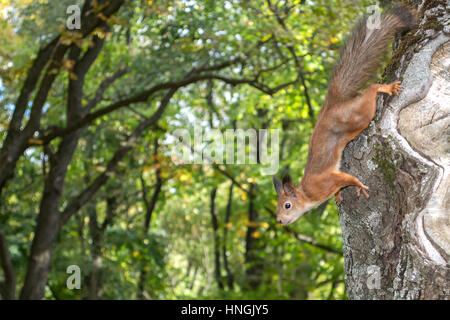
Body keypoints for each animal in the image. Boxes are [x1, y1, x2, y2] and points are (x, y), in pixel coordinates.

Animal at [272, 5, 416, 225]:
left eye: (287, 205)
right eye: (277, 207)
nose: (279, 221)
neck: (307, 195)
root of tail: (332, 105)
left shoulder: (329, 180)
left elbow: (348, 179)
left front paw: (359, 186)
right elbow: (339, 188)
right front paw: (339, 196)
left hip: (360, 116)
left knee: (371, 90)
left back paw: (386, 87)